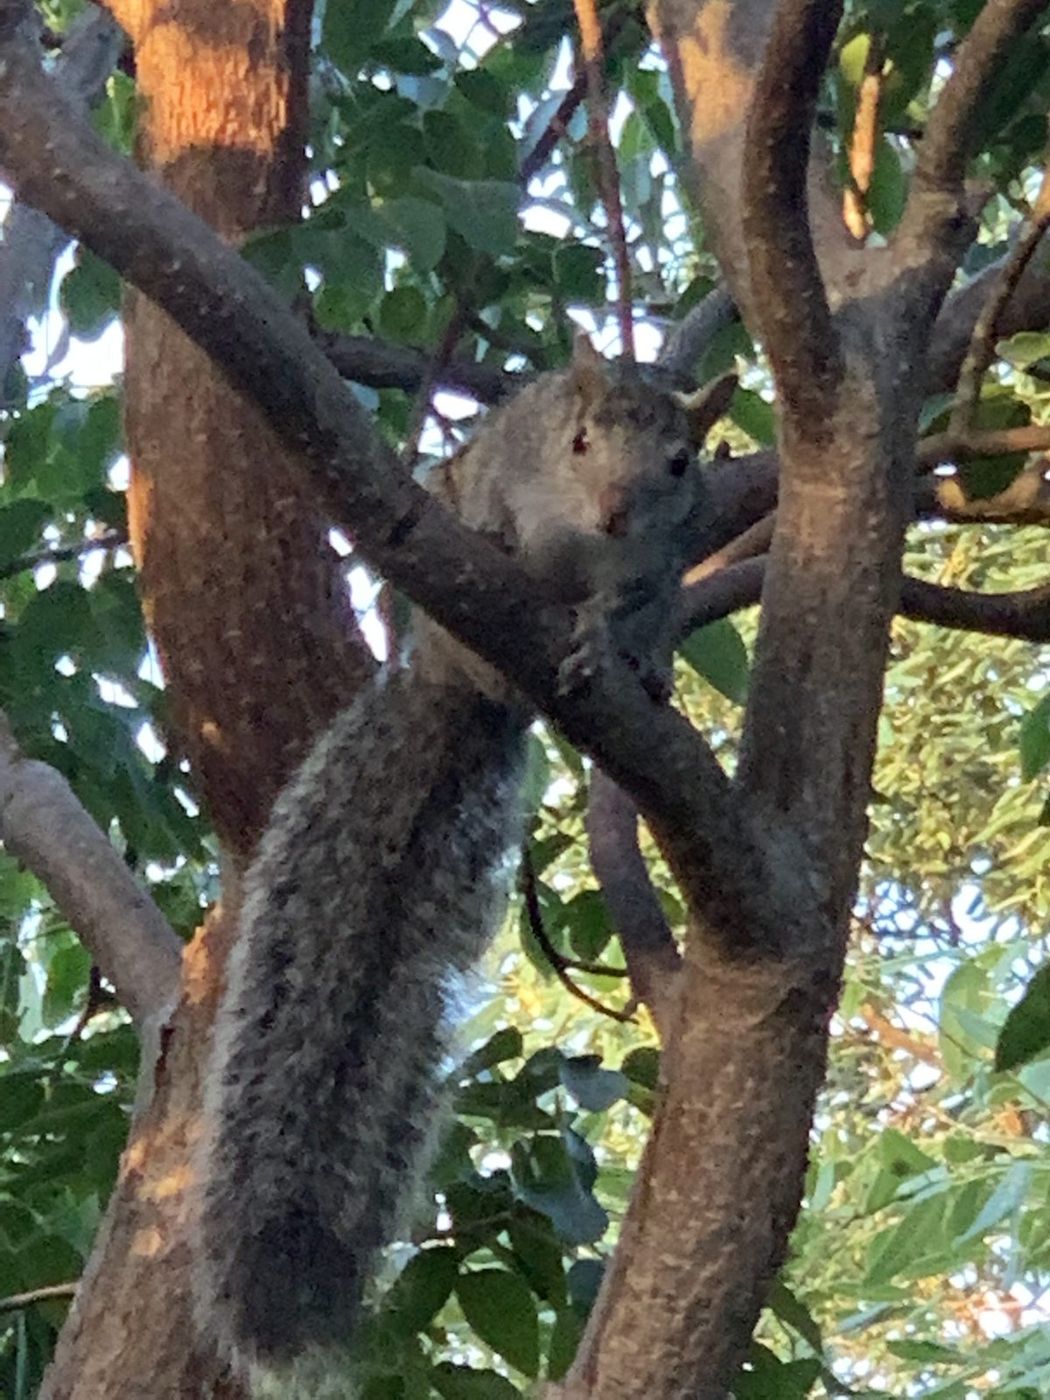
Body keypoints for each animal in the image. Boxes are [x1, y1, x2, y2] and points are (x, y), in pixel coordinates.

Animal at [194, 337, 723, 1390]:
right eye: (578, 440)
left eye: (681, 465)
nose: (614, 510)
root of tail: (455, 692)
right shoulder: (500, 468)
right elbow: (488, 507)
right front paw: (497, 532)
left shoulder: (656, 571)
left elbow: (623, 602)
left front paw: (602, 640)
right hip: (440, 632)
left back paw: (641, 674)